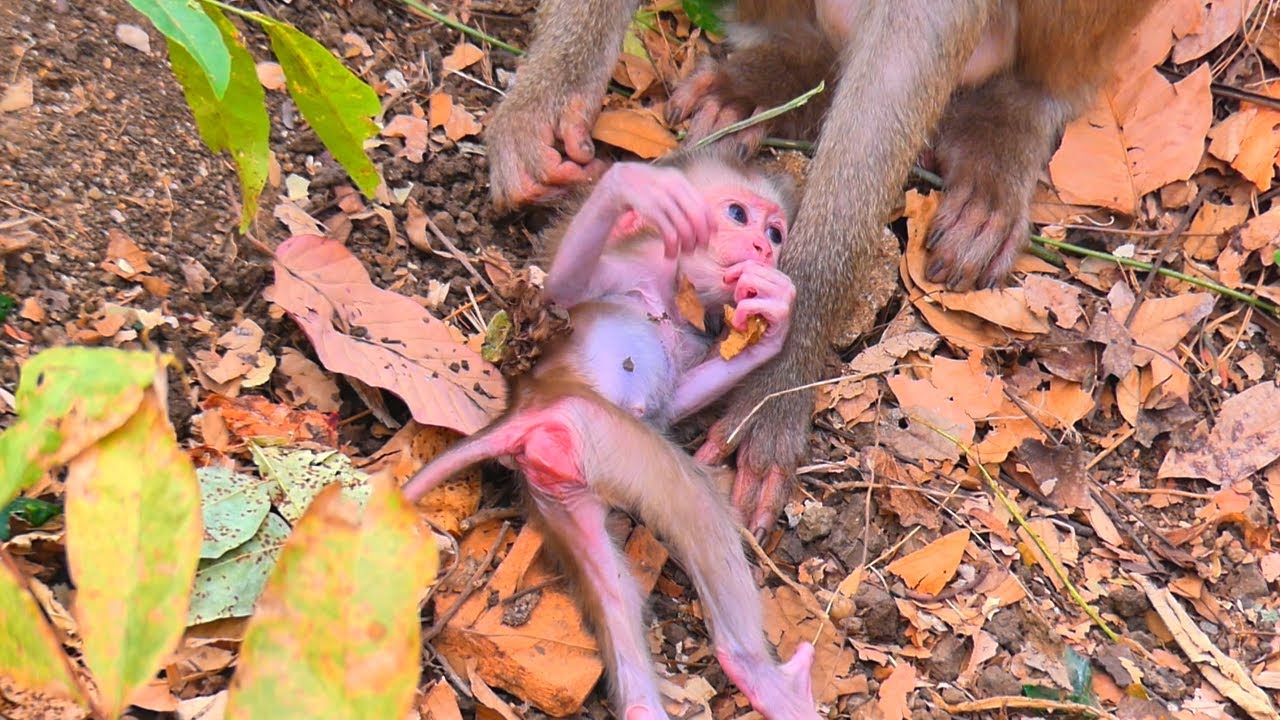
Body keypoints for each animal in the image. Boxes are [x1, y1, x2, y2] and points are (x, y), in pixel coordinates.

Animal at [403, 149, 818, 720]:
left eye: (775, 233)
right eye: (738, 215)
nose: (763, 247)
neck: (669, 292)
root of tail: (526, 409)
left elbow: (671, 404)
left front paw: (771, 325)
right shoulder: (616, 274)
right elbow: (555, 297)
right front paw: (629, 189)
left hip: (561, 479)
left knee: (614, 588)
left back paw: (647, 701)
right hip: (596, 428)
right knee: (688, 502)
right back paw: (758, 673)